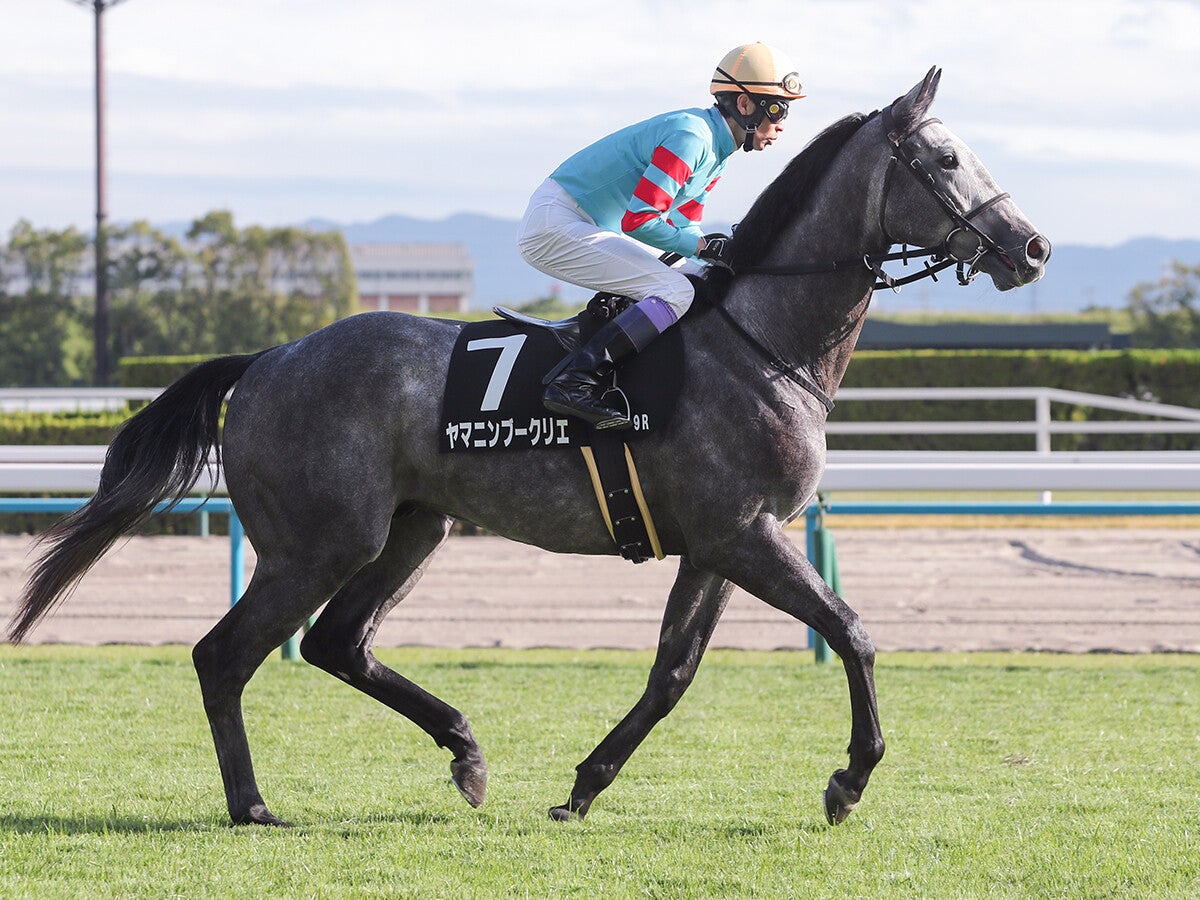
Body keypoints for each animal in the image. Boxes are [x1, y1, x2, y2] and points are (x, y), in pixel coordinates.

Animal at [8, 68, 1049, 827]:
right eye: (944, 157)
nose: (1032, 248)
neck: (763, 343)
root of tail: (268, 357)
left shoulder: (718, 544)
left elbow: (673, 672)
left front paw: (584, 785)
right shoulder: (747, 534)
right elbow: (855, 632)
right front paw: (848, 781)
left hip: (412, 528)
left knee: (339, 643)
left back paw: (467, 756)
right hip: (319, 541)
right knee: (226, 655)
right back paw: (254, 806)